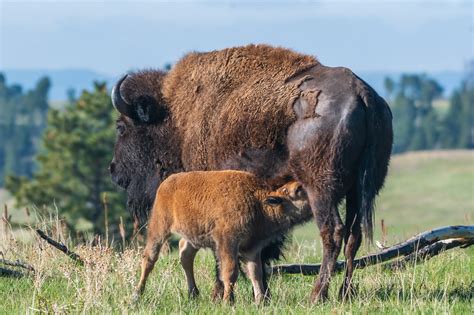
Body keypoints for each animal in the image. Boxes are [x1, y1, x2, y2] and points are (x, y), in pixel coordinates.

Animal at [133, 172, 312, 304]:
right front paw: (228, 301)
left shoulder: (251, 248)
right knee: (149, 258)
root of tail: (166, 182)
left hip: (193, 236)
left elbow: (256, 273)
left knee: (185, 255)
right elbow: (230, 272)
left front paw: (260, 301)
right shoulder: (227, 243)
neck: (258, 202)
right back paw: (137, 295)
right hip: (159, 227)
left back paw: (193, 294)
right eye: (298, 189)